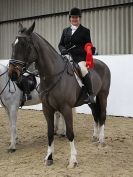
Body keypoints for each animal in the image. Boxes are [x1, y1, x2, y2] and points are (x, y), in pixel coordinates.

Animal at [7, 21, 110, 167]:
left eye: (25, 45)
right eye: (13, 44)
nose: (12, 74)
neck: (53, 75)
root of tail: (103, 64)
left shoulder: (66, 108)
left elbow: (70, 133)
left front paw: (73, 160)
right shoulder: (47, 108)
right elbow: (50, 133)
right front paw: (49, 157)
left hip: (103, 95)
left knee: (102, 115)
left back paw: (101, 141)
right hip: (92, 99)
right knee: (96, 113)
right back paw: (95, 137)